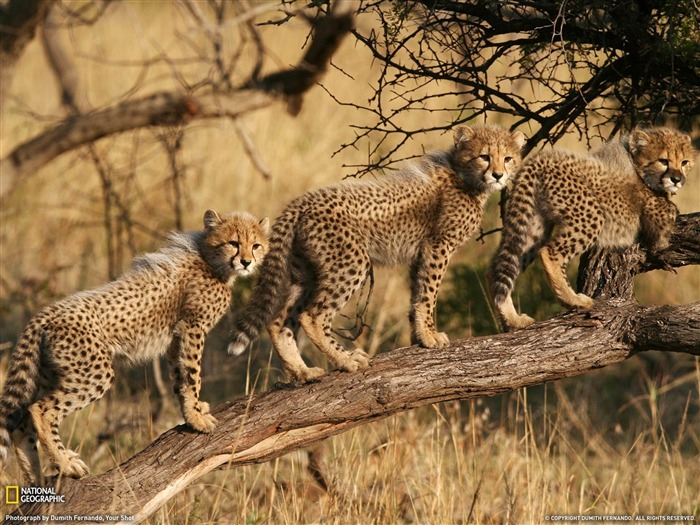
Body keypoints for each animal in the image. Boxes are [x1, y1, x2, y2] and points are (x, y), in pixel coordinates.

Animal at [0, 209, 268, 478]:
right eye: (233, 243)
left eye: (256, 245)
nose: (246, 262)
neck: (209, 260)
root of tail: (43, 314)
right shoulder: (192, 327)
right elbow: (193, 375)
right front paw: (196, 418)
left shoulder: (175, 338)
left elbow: (179, 377)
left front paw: (191, 411)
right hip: (94, 373)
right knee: (40, 410)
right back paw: (66, 463)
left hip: (50, 373)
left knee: (21, 425)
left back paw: (37, 477)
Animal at [228, 125, 524, 382]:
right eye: (485, 157)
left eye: (508, 158)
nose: (498, 175)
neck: (464, 176)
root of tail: (301, 201)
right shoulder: (438, 245)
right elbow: (429, 294)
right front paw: (430, 336)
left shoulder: (421, 253)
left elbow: (417, 294)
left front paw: (419, 337)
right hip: (351, 262)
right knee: (312, 316)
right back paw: (347, 360)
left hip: (306, 272)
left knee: (279, 322)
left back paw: (304, 372)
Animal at [490, 126, 696, 328]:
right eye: (663, 161)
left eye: (684, 162)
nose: (677, 179)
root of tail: (541, 158)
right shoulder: (656, 211)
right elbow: (667, 221)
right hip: (590, 216)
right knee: (549, 252)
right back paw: (574, 300)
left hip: (533, 225)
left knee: (500, 268)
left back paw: (512, 318)